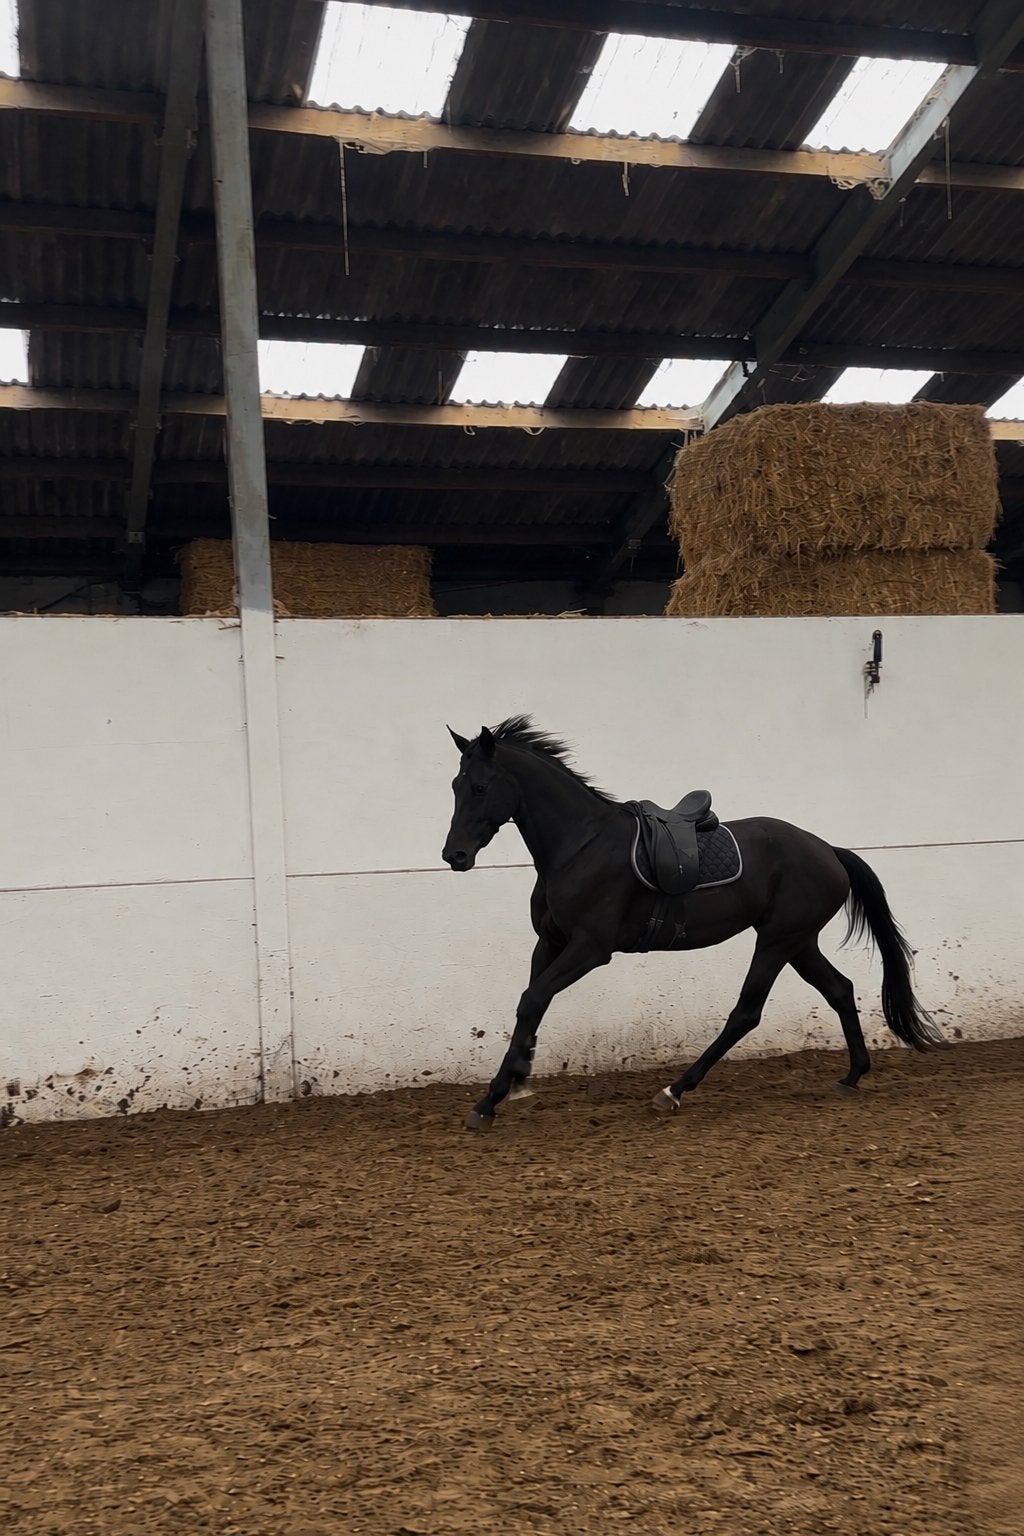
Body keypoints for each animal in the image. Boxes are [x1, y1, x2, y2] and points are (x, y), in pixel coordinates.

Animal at [441, 716, 946, 1132]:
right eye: (455, 786)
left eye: (480, 787)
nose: (455, 856)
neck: (580, 845)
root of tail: (828, 850)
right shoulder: (549, 942)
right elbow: (533, 1002)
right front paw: (517, 1077)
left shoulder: (589, 948)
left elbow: (532, 999)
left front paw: (491, 1100)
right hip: (799, 941)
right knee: (840, 989)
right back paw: (853, 1074)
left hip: (777, 941)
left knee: (746, 1013)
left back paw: (674, 1091)